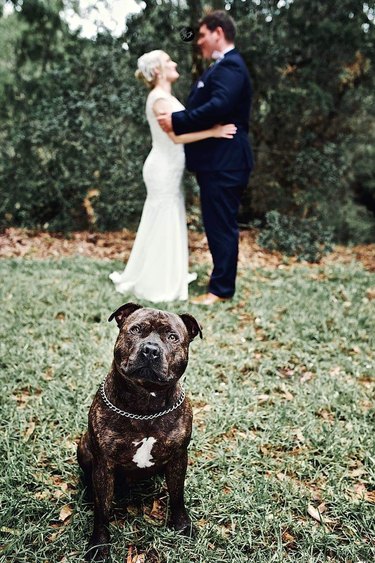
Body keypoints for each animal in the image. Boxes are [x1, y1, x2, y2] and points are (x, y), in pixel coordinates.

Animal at [77, 306, 203, 560]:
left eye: (173, 337)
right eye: (135, 329)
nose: (151, 350)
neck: (145, 404)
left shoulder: (179, 456)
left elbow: (178, 495)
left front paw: (182, 525)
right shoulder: (103, 465)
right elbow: (101, 511)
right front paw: (98, 545)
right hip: (84, 446)